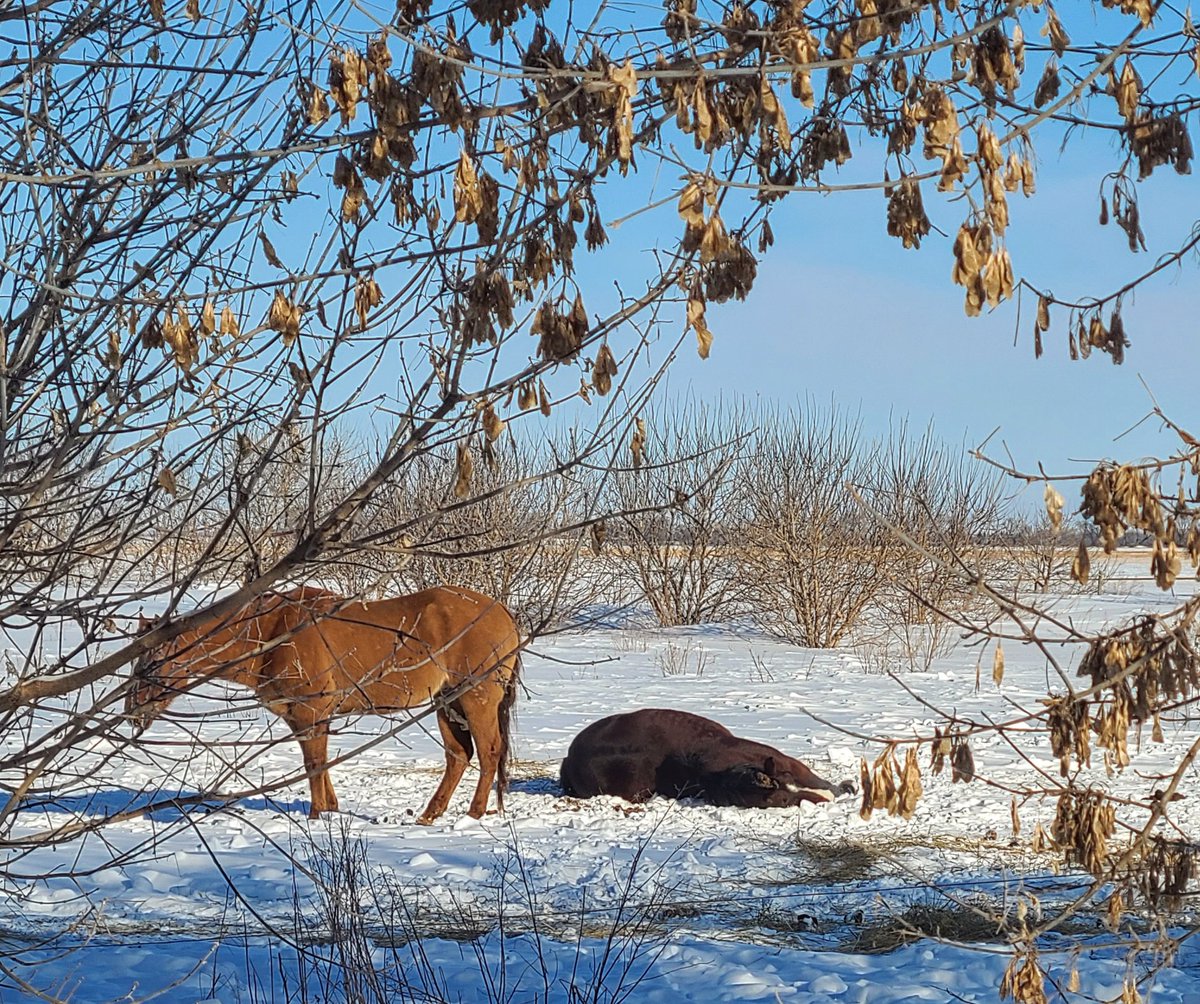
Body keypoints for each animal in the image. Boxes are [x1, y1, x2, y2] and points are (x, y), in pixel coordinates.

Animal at [126, 585, 522, 822]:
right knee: (458, 756)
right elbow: (321, 760)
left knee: (488, 752)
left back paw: (474, 812)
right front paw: (330, 808)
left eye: (152, 662)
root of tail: (503, 612)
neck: (274, 632)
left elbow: (314, 763)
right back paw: (430, 815)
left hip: (476, 697)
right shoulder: (308, 717)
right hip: (447, 701)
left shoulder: (309, 712)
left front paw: (318, 814)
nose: (132, 711)